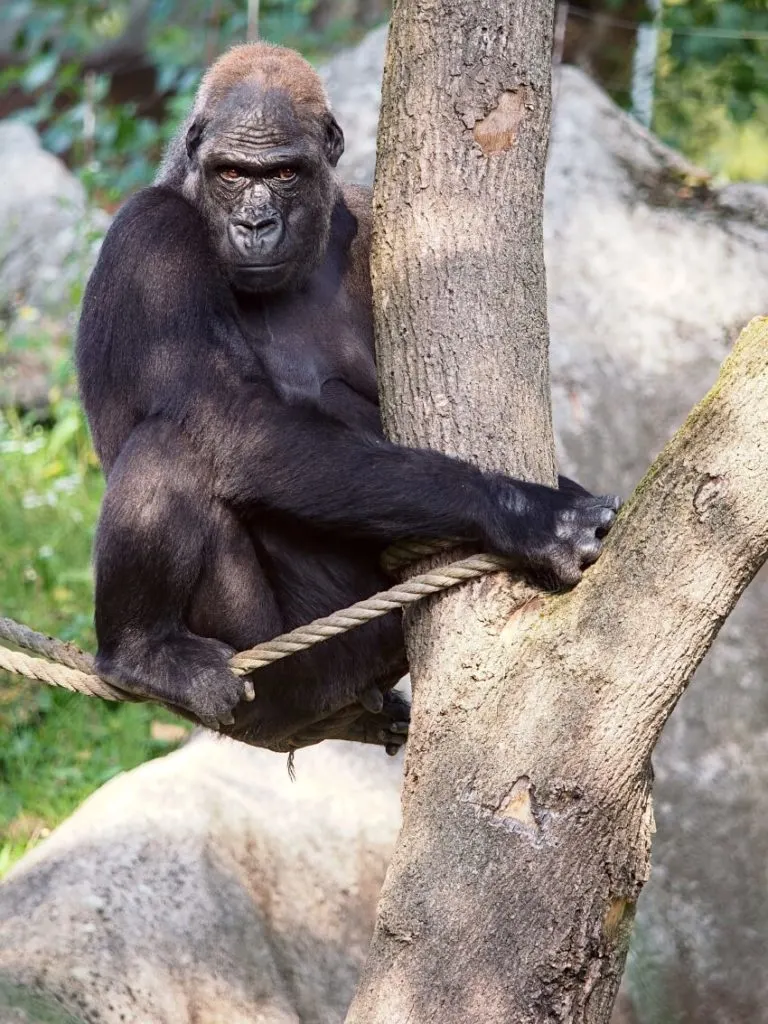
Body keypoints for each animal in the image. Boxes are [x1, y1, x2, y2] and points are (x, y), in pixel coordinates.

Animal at [76, 41, 618, 753]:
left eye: (284, 173)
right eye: (231, 173)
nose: (256, 222)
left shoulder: (369, 221)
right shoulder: (152, 238)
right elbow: (229, 421)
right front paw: (524, 512)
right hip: (274, 678)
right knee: (175, 442)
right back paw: (143, 653)